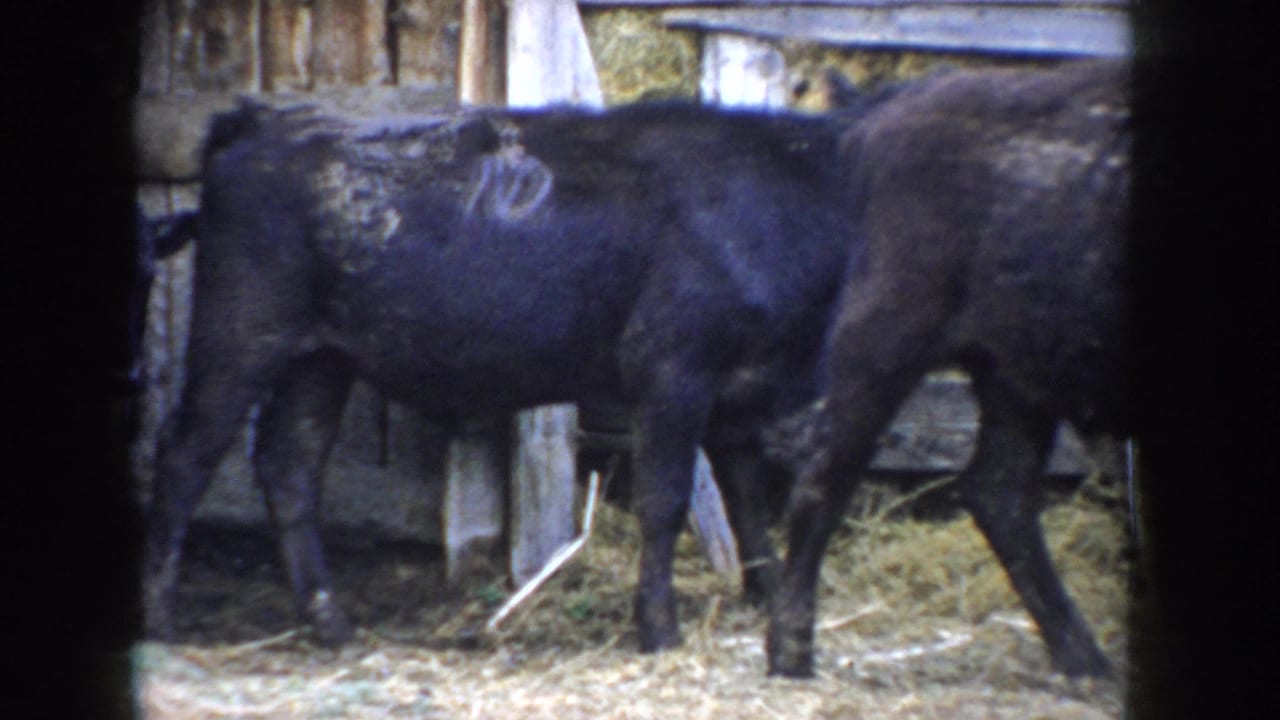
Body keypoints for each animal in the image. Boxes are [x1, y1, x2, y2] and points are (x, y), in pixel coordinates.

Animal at [142, 98, 859, 651]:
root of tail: (264, 120)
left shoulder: (733, 391)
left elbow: (745, 497)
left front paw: (769, 594)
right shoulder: (671, 373)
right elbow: (666, 502)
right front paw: (660, 629)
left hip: (320, 360)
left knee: (289, 465)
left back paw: (332, 624)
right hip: (240, 336)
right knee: (183, 454)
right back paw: (160, 620)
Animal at [766, 59, 1132, 680]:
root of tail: (889, 112)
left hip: (1015, 378)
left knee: (999, 492)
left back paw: (1084, 661)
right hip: (888, 338)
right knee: (824, 474)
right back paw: (791, 653)